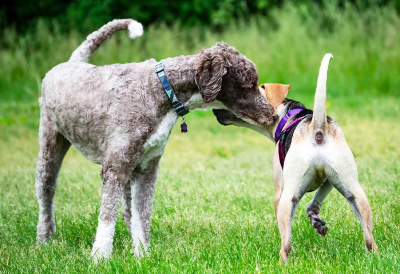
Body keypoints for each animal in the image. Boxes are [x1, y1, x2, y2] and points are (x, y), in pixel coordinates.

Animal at [212, 53, 378, 264]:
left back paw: (282, 262)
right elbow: (314, 203)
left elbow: (284, 229)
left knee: (286, 244)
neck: (288, 116)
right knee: (370, 239)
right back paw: (374, 258)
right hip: (354, 191)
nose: (214, 110)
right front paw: (317, 222)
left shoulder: (279, 192)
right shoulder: (330, 180)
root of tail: (317, 128)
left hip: (288, 196)